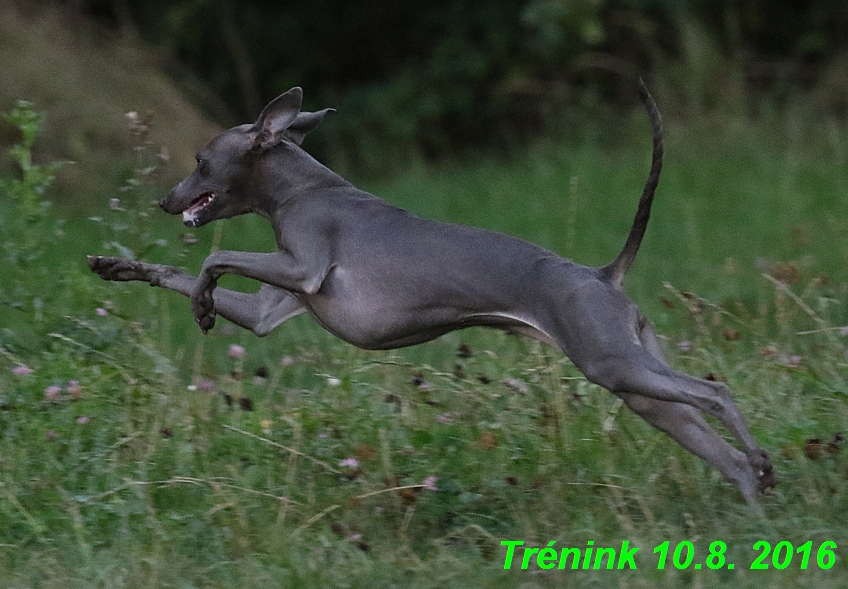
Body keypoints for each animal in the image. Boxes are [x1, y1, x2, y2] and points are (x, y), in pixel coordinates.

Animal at [91, 80, 776, 504]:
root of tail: (604, 275)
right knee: (722, 453)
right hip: (638, 384)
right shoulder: (271, 308)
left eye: (200, 161)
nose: (165, 201)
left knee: (716, 393)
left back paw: (763, 462)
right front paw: (116, 267)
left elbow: (217, 258)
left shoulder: (303, 268)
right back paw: (755, 512)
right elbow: (182, 273)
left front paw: (202, 305)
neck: (303, 190)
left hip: (613, 362)